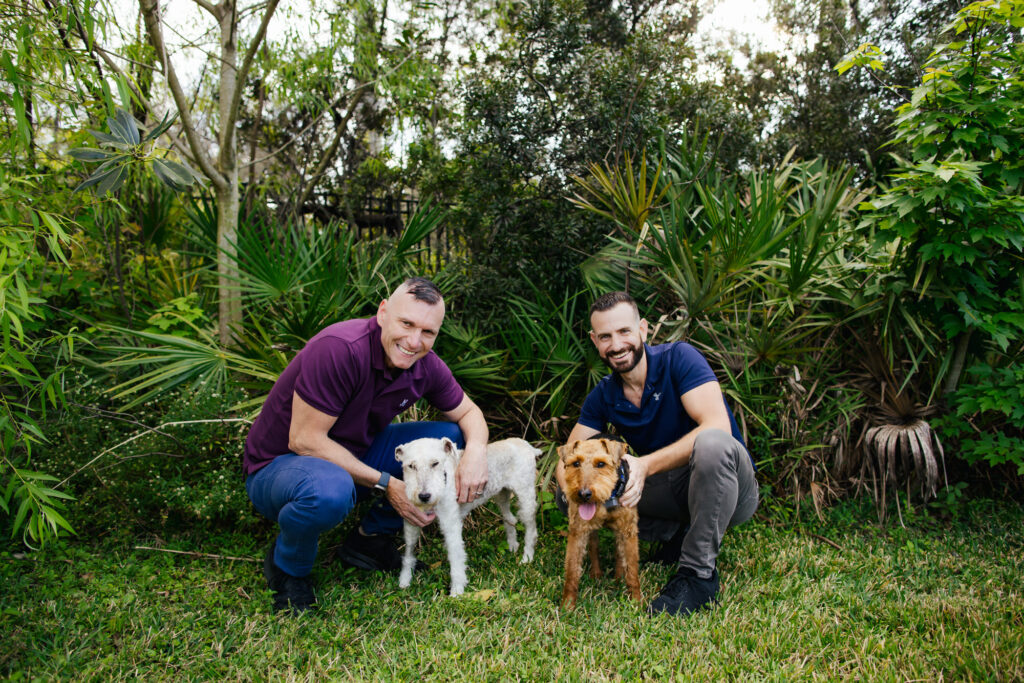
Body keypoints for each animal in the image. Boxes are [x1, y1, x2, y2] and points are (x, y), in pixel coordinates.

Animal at [391, 438, 540, 593]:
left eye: (435, 463)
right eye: (411, 466)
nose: (424, 496)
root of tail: (527, 446)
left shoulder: (451, 524)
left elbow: (456, 557)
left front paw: (457, 590)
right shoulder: (412, 521)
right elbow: (409, 550)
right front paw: (405, 579)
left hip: (525, 496)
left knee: (531, 530)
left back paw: (527, 557)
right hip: (502, 495)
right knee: (510, 519)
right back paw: (512, 546)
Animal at [561, 438, 638, 610]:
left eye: (601, 464)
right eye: (576, 463)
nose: (584, 494)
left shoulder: (628, 530)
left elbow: (632, 570)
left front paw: (638, 602)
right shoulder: (578, 530)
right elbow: (572, 571)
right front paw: (567, 606)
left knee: (619, 552)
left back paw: (618, 578)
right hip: (591, 530)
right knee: (594, 548)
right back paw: (596, 574)